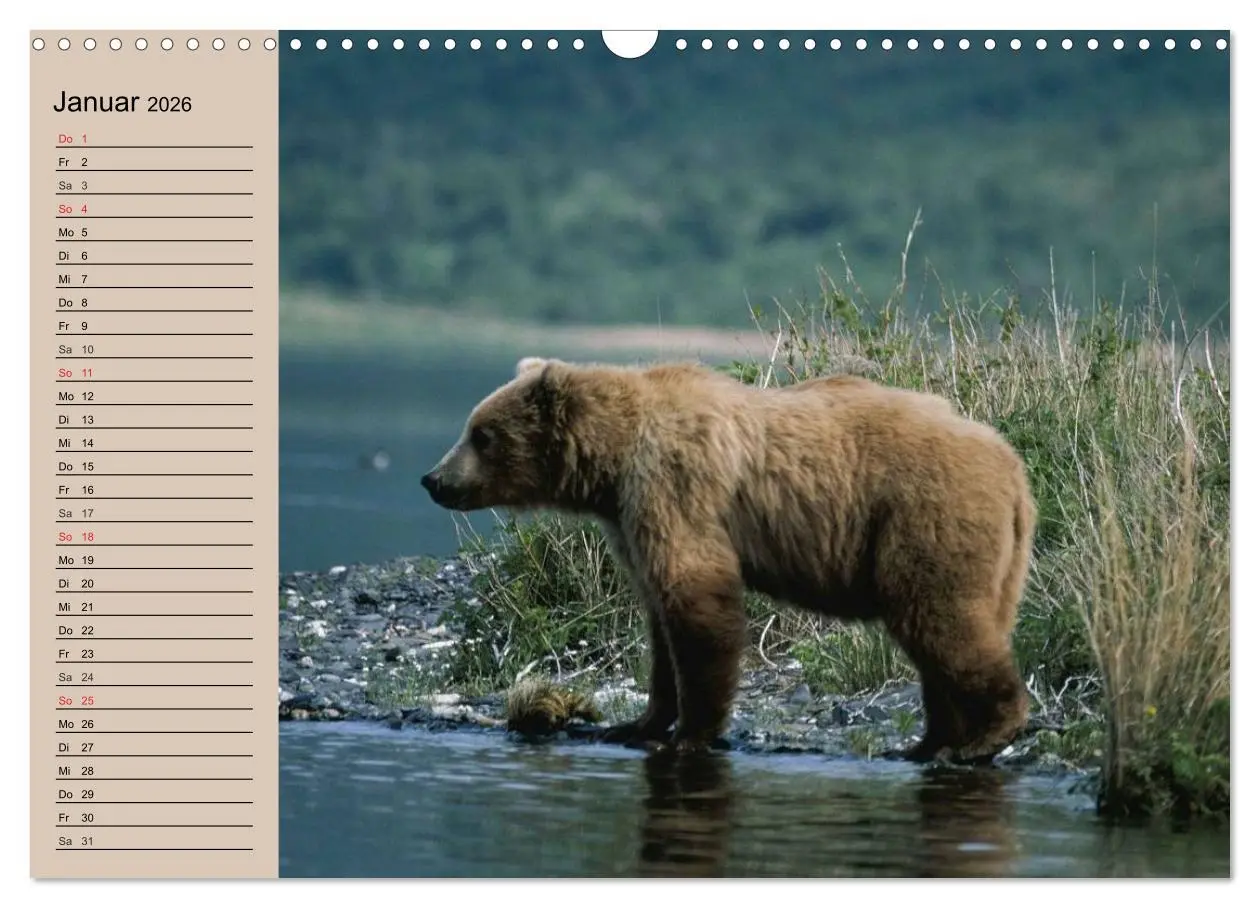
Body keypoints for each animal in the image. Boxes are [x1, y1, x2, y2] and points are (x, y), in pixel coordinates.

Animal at [421, 356, 1035, 763]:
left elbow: (696, 599)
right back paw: (927, 743)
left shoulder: (673, 486)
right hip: (993, 554)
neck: (611, 466)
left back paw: (986, 734)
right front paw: (637, 722)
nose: (433, 479)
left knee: (941, 620)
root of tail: (1012, 465)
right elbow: (659, 623)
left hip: (925, 518)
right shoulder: (629, 519)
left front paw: (690, 733)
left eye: (482, 434)